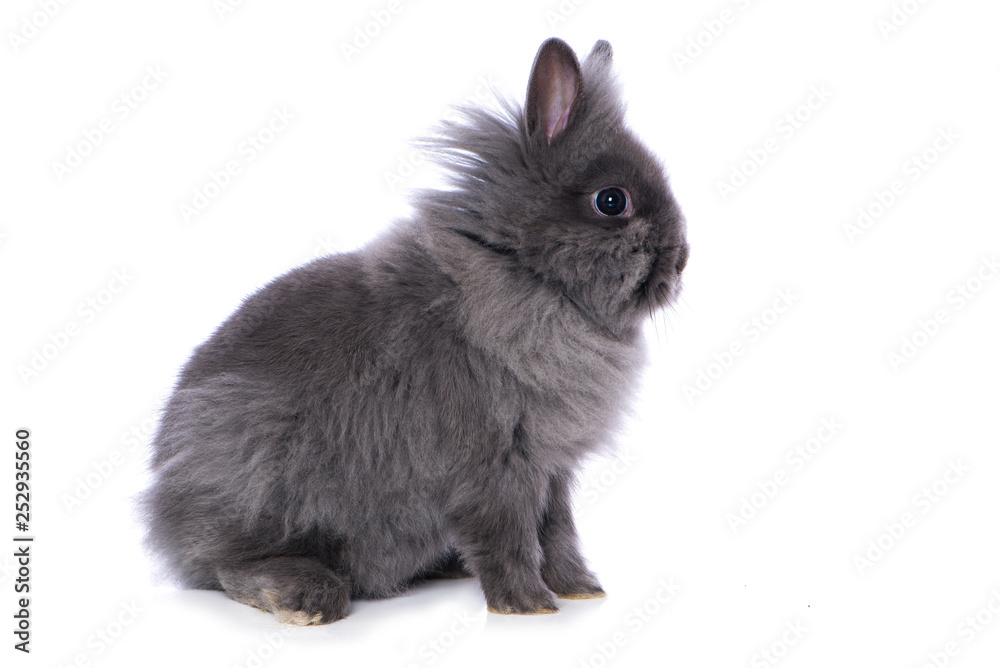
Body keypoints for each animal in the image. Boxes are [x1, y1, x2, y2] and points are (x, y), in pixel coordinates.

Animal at [141, 37, 688, 626]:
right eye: (612, 201)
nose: (682, 260)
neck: (529, 275)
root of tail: (165, 514)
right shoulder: (494, 468)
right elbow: (508, 537)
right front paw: (527, 606)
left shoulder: (551, 468)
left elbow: (558, 533)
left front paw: (581, 591)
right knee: (231, 566)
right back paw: (304, 599)